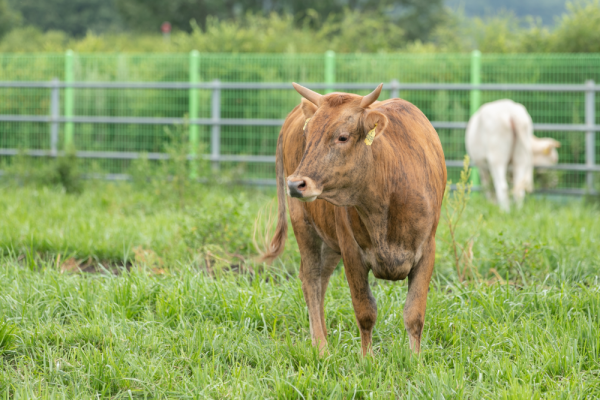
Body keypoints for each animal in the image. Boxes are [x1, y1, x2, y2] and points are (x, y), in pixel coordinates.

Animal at [260, 83, 448, 354]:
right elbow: (365, 312)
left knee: (321, 279)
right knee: (311, 279)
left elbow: (414, 314)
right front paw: (367, 358)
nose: (295, 184)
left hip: (329, 241)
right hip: (303, 224)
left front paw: (415, 359)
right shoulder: (352, 251)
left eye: (343, 137)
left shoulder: (427, 250)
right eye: (309, 135)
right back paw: (321, 346)